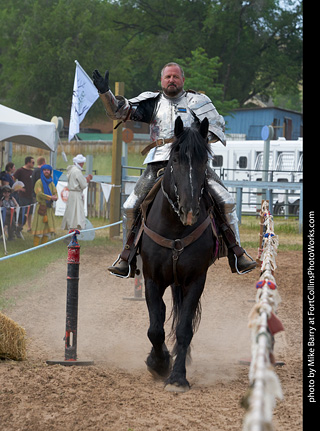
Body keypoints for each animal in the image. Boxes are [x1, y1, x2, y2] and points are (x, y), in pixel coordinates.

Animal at [140, 116, 218, 394]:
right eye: (175, 160)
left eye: (204, 161)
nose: (189, 210)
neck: (175, 228)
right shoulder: (151, 280)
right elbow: (155, 328)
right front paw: (158, 362)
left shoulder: (195, 281)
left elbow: (184, 329)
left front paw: (177, 377)